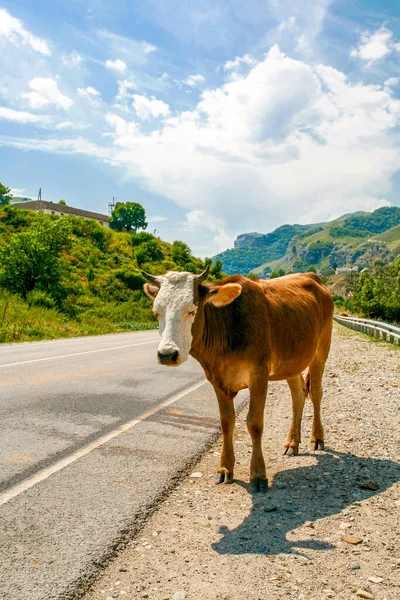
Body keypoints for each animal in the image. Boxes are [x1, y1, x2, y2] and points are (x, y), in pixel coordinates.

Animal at [142, 268, 332, 492]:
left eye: (191, 310)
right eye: (156, 312)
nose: (167, 354)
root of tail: (311, 276)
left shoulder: (259, 375)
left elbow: (255, 423)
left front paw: (258, 474)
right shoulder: (216, 380)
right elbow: (226, 422)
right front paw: (225, 468)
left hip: (322, 348)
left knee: (316, 392)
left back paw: (317, 438)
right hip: (292, 360)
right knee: (298, 395)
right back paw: (292, 443)